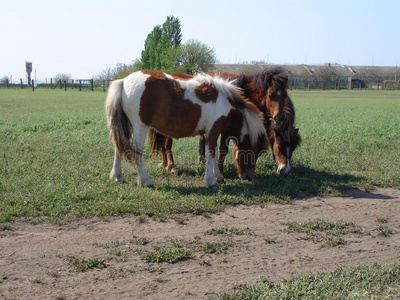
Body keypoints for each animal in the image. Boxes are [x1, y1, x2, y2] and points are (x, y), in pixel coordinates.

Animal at [106, 70, 266, 188]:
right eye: (255, 151)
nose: (249, 177)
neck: (224, 102)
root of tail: (123, 81)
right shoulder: (213, 129)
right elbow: (211, 154)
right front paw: (211, 181)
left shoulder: (210, 133)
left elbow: (213, 154)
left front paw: (218, 177)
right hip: (140, 127)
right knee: (137, 152)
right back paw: (146, 181)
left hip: (127, 125)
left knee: (118, 148)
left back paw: (117, 176)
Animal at [150, 67, 300, 176]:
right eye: (270, 95)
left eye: (292, 148)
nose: (285, 170)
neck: (242, 91)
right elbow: (223, 149)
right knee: (167, 143)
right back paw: (171, 166)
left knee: (162, 143)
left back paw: (164, 163)